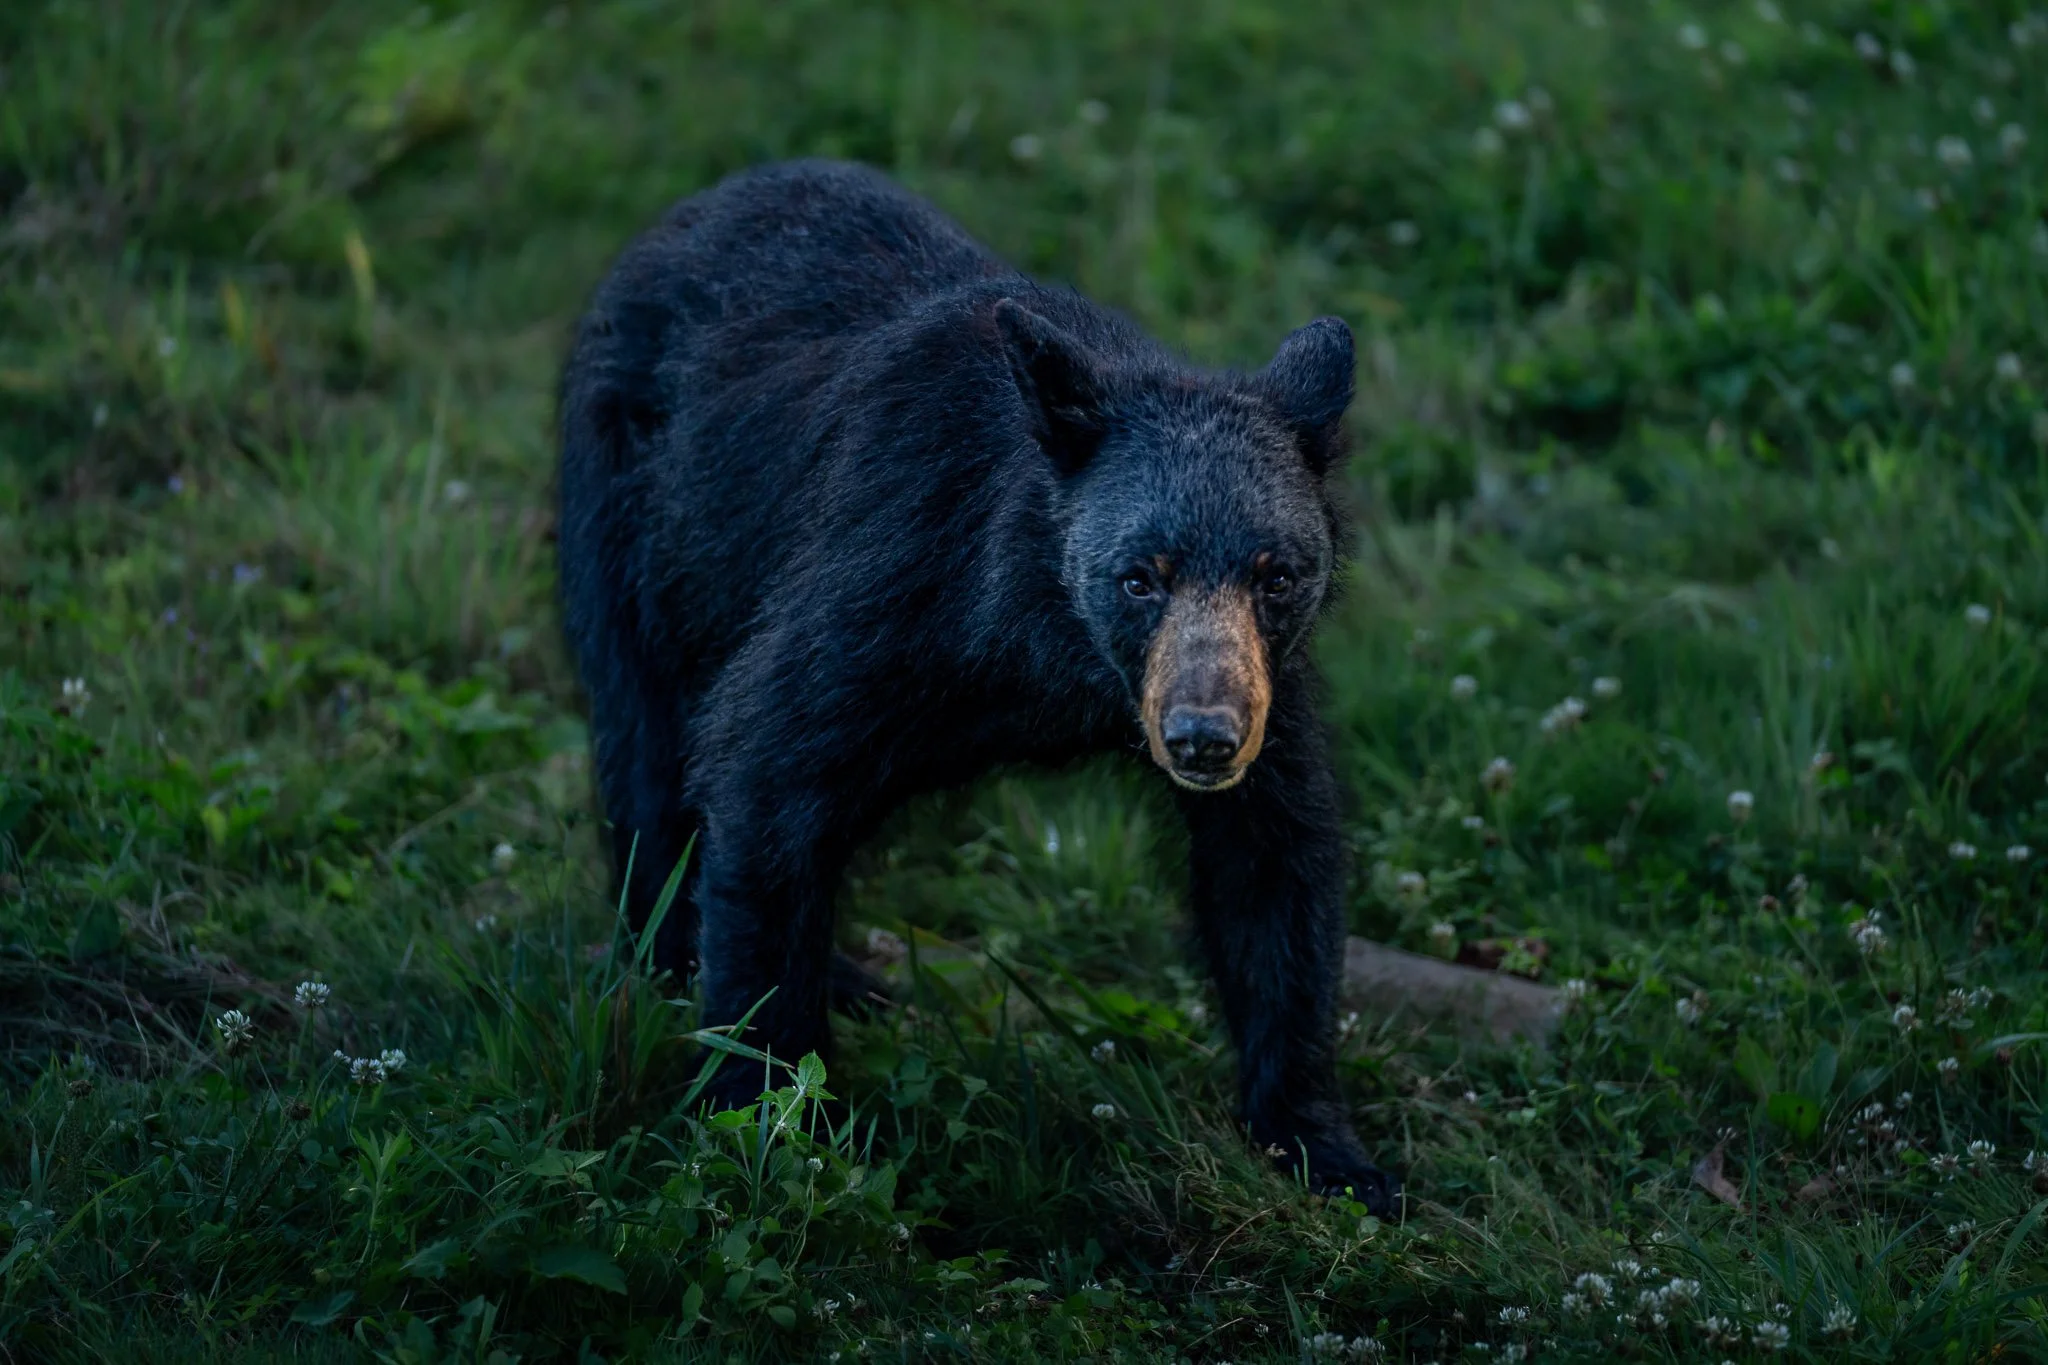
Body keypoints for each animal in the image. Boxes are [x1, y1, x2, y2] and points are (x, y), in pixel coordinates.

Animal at [556, 159, 1397, 1215]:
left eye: (1276, 573)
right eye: (1140, 575)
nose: (1203, 738)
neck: (1047, 647)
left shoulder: (1269, 682)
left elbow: (1275, 863)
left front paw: (1331, 1153)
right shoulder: (892, 573)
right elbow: (764, 762)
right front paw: (763, 1122)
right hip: (628, 512)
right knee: (645, 737)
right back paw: (689, 952)